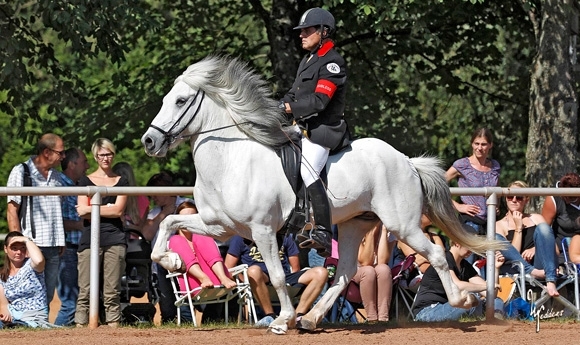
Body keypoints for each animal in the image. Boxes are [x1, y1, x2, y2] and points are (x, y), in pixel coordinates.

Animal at [140, 55, 502, 334]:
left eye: (180, 101)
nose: (149, 142)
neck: (231, 160)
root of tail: (407, 161)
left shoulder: (262, 230)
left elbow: (276, 275)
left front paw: (283, 319)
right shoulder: (220, 227)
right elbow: (169, 224)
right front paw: (172, 259)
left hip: (402, 225)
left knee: (437, 255)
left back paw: (463, 300)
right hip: (356, 222)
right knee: (346, 272)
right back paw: (311, 318)